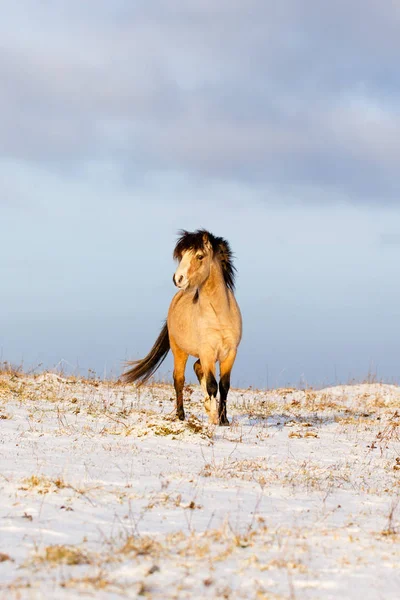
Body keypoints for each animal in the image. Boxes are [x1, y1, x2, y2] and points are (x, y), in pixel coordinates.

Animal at [121, 230, 241, 426]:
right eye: (183, 255)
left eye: (199, 256)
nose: (178, 279)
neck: (219, 315)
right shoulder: (207, 352)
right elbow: (212, 385)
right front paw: (214, 418)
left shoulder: (230, 353)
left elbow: (224, 386)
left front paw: (223, 420)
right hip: (179, 350)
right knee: (179, 380)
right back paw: (181, 415)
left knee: (197, 368)